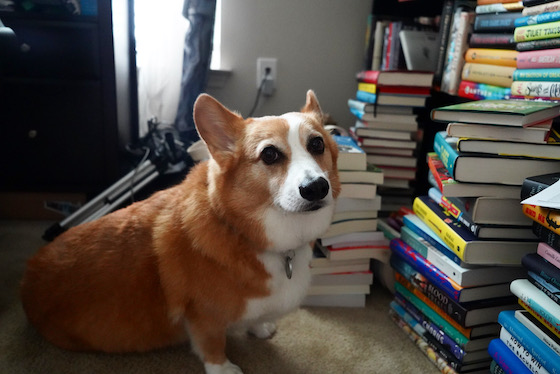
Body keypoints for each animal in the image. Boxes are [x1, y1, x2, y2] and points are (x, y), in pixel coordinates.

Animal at [19, 90, 340, 374]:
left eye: (317, 144)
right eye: (270, 154)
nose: (316, 188)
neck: (240, 230)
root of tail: (28, 274)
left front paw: (259, 326)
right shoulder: (203, 315)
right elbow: (212, 344)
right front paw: (223, 369)